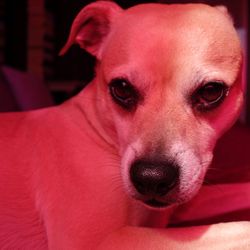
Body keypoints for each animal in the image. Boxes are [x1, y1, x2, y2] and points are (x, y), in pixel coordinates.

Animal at [0, 0, 250, 249]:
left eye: (211, 91)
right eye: (121, 88)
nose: (152, 178)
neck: (98, 129)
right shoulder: (106, 239)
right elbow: (238, 228)